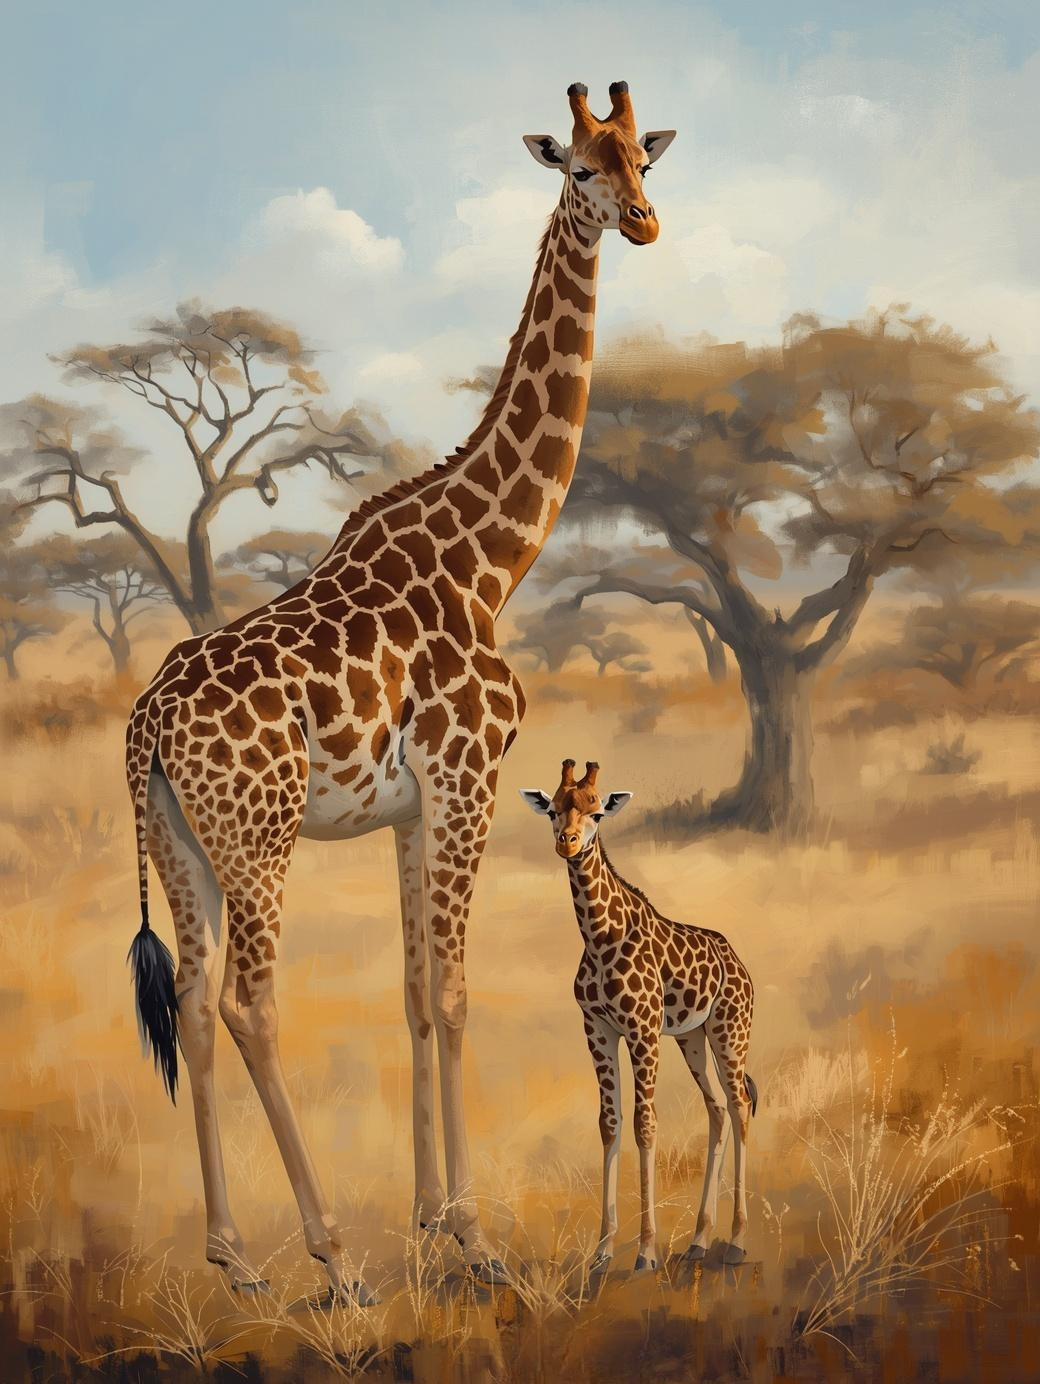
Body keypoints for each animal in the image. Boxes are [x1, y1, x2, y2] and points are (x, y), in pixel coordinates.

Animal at [124, 84, 676, 1301]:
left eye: (643, 158)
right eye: (576, 168)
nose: (644, 224)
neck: (491, 554)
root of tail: (143, 727)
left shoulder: (412, 806)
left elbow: (418, 993)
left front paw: (430, 1220)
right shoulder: (470, 780)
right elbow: (459, 993)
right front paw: (474, 1237)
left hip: (181, 844)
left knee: (190, 1006)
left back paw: (234, 1257)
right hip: (258, 838)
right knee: (249, 1004)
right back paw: (332, 1258)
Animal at [521, 761, 757, 1274]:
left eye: (597, 813)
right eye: (552, 808)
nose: (567, 842)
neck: (598, 938)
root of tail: (740, 963)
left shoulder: (643, 1030)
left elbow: (645, 1124)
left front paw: (647, 1251)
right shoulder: (597, 1028)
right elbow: (609, 1123)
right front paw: (603, 1251)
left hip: (730, 1031)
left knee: (740, 1106)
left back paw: (736, 1241)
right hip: (692, 1037)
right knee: (716, 1109)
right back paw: (698, 1241)